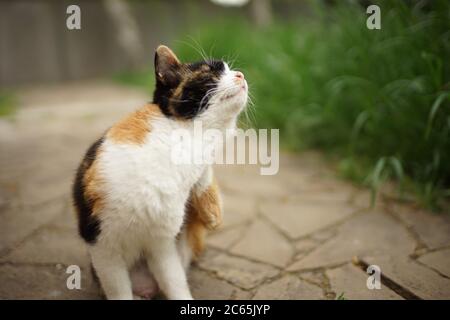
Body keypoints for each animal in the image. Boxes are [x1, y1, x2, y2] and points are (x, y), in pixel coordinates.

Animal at [72, 45, 248, 300]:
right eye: (211, 72)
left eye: (229, 69)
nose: (241, 75)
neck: (190, 141)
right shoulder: (102, 246)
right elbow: (119, 292)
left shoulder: (162, 245)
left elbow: (176, 284)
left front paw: (212, 211)